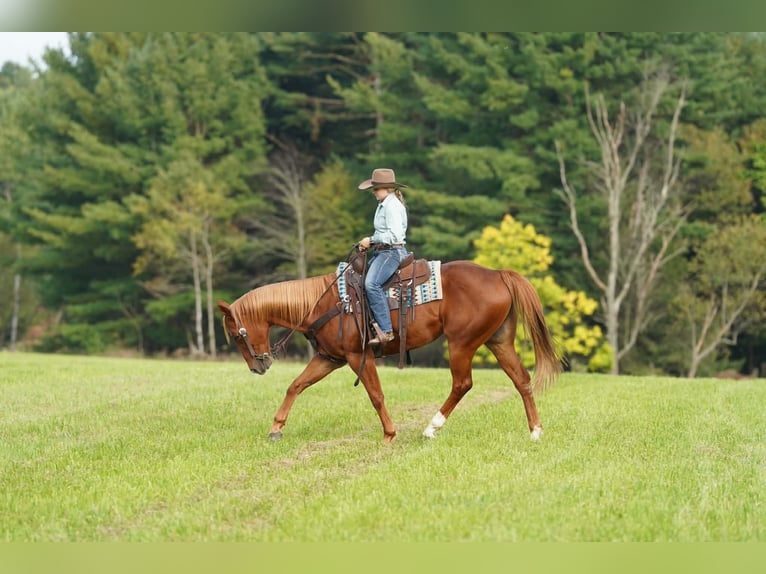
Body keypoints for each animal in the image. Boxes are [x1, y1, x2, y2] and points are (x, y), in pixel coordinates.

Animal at [217, 258, 562, 444]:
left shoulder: (357, 357)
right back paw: (535, 431)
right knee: (521, 379)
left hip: (462, 343)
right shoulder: (329, 358)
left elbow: (376, 395)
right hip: (498, 341)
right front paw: (276, 429)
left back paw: (431, 428)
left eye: (236, 335)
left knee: (463, 384)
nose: (258, 367)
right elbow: (296, 386)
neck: (324, 302)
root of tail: (498, 273)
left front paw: (389, 433)